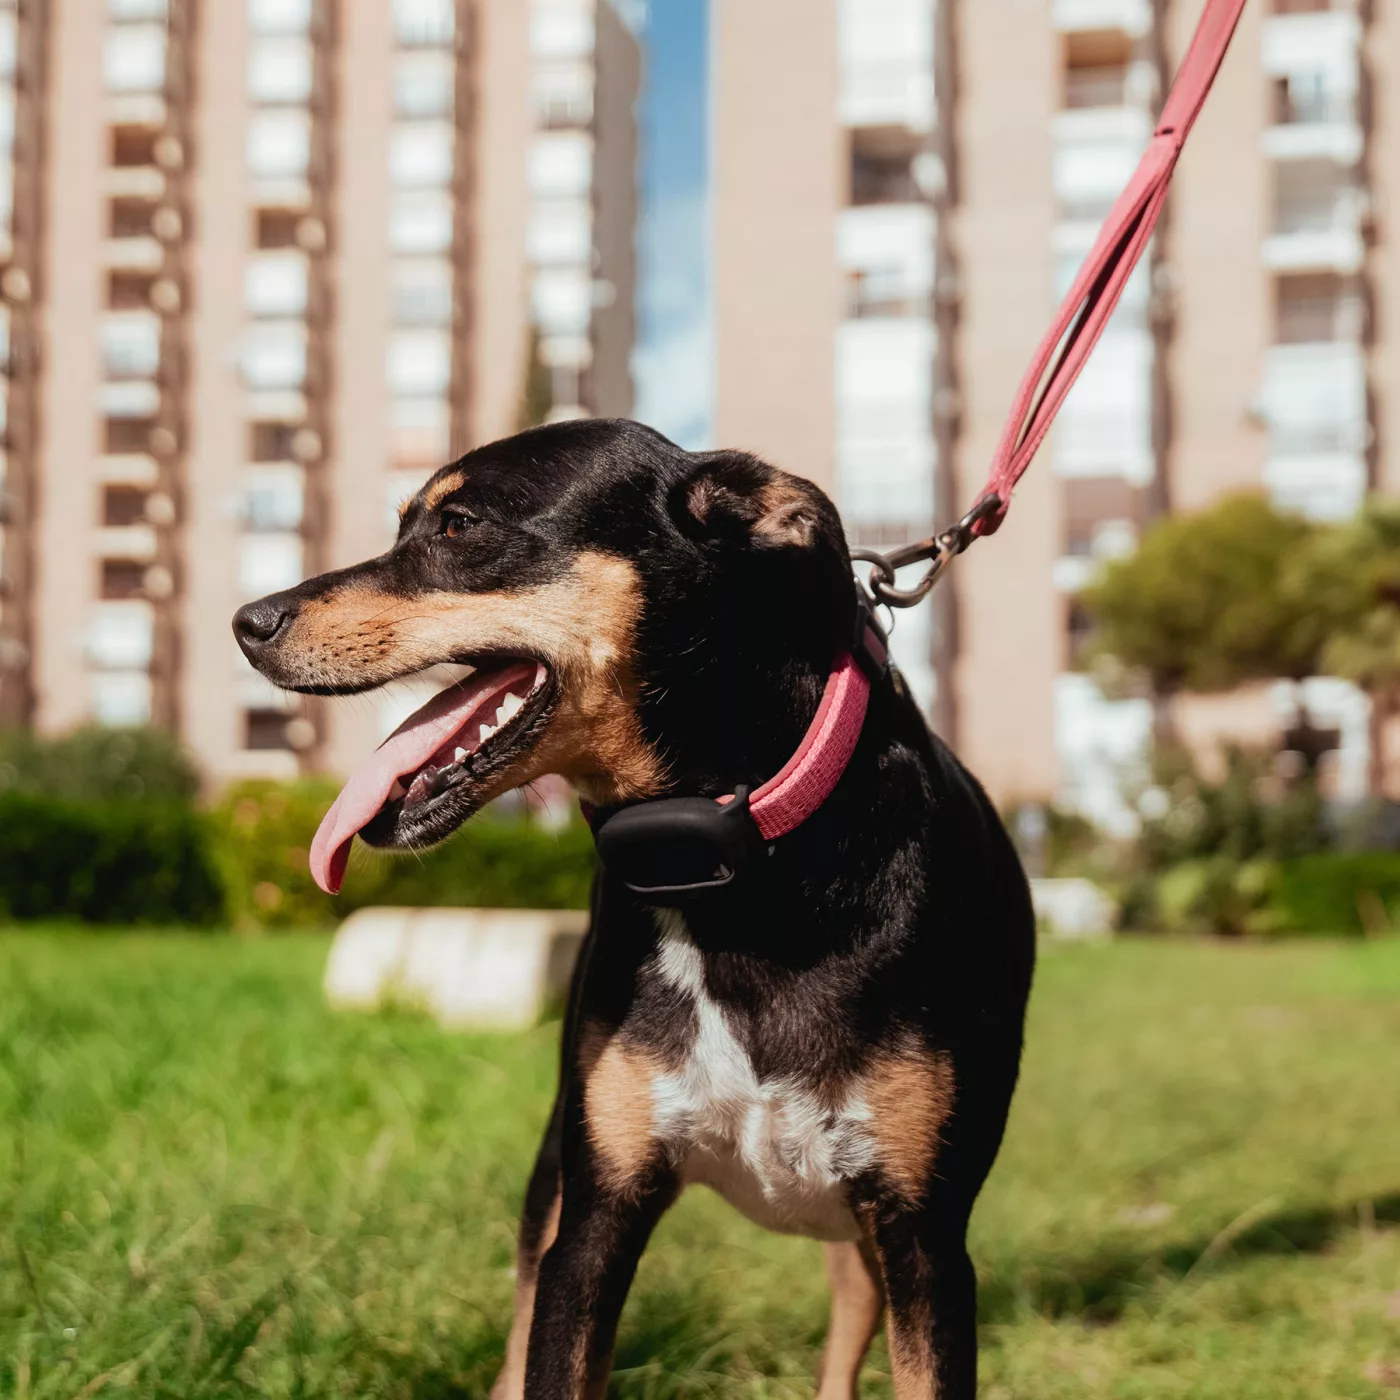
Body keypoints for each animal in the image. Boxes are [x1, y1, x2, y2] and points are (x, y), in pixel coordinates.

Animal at [235, 417, 1036, 1400]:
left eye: (460, 526)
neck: (735, 879)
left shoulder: (927, 1240)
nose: (248, 621)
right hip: (556, 1169)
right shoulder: (595, 1221)